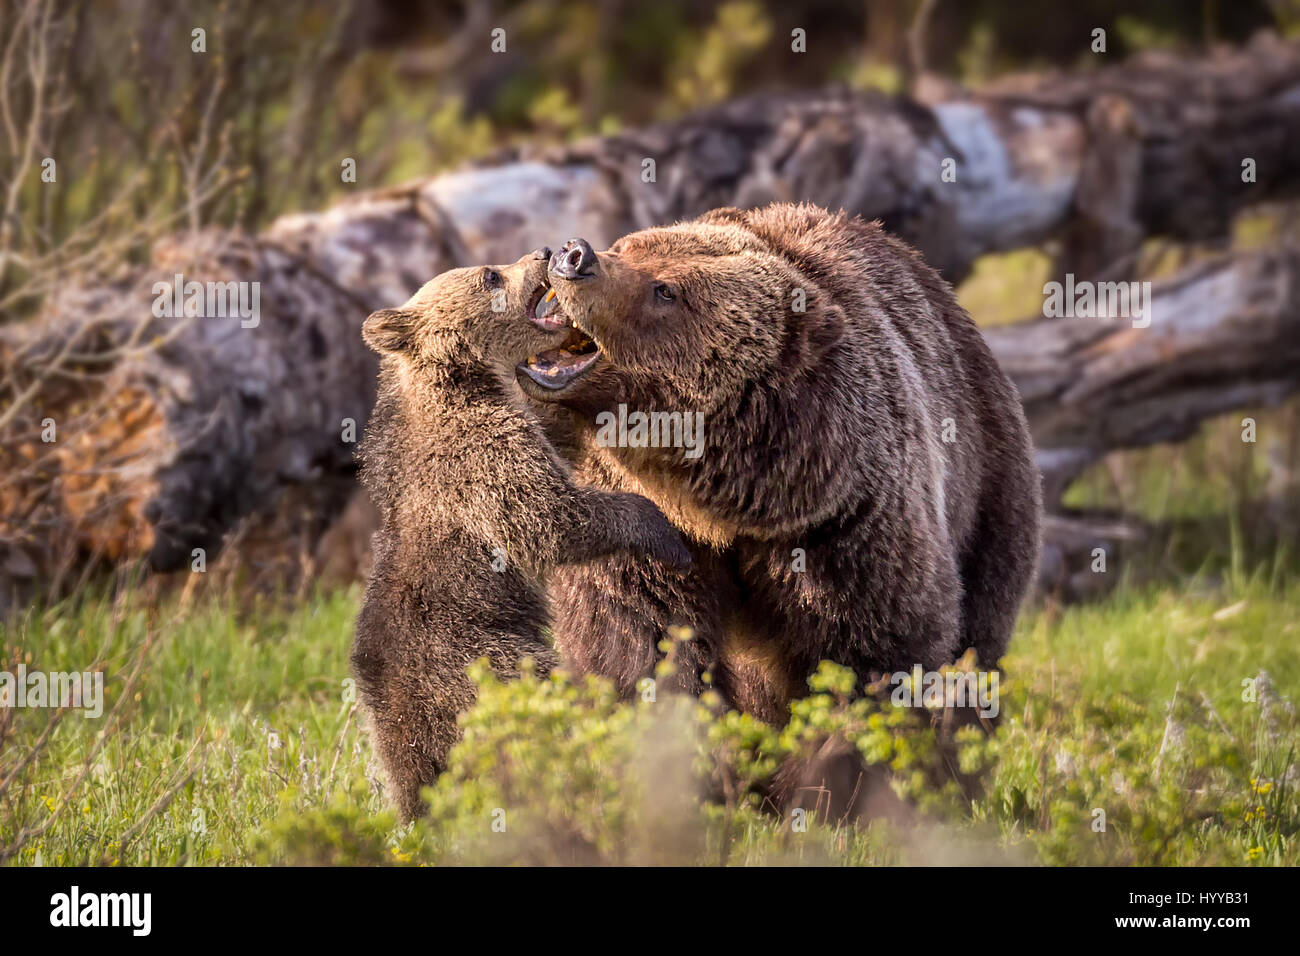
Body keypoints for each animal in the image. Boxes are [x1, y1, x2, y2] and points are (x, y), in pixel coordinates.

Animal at [514, 204, 1034, 723]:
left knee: (982, 630)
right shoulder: (643, 529)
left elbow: (876, 652)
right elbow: (640, 639)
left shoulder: (844, 527)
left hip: (989, 491)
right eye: (626, 246)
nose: (574, 255)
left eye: (666, 289)